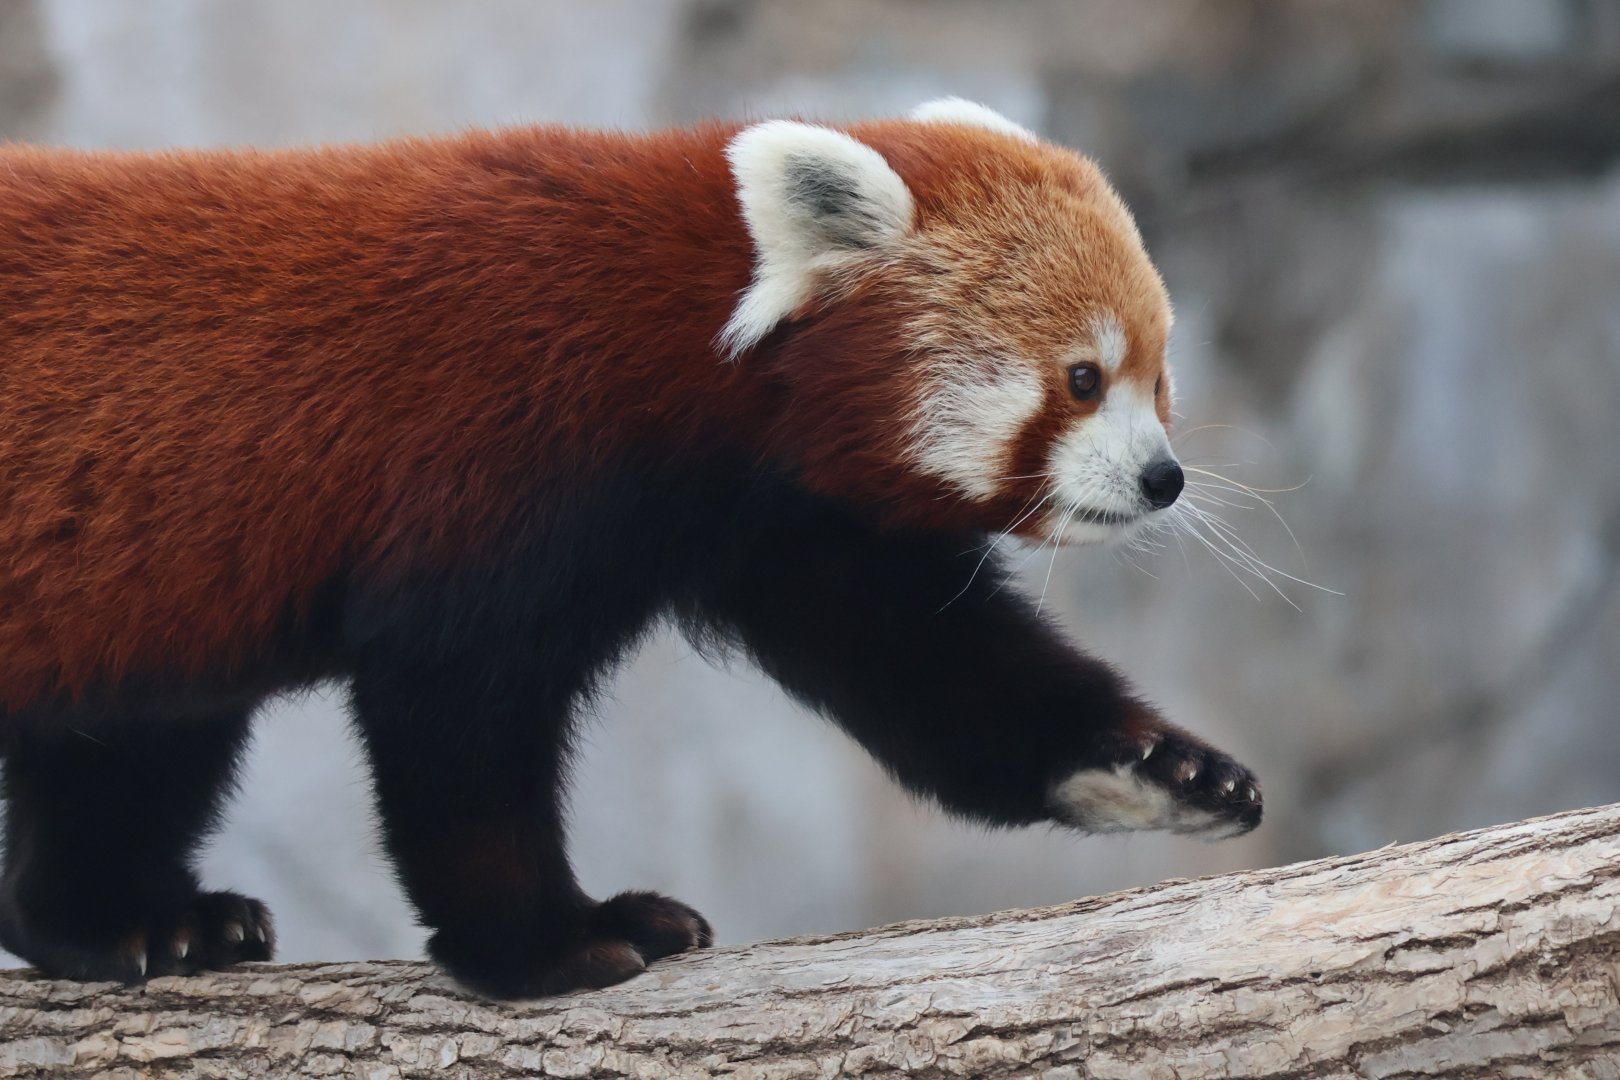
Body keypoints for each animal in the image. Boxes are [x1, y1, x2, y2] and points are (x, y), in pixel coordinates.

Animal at [0, 99, 1261, 998]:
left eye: (1159, 379)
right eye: (1082, 378)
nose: (1163, 478)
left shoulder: (778, 523)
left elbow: (936, 667)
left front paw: (1157, 768)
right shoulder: (498, 454)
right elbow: (458, 717)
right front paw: (553, 941)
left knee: (134, 744)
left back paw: (126, 922)